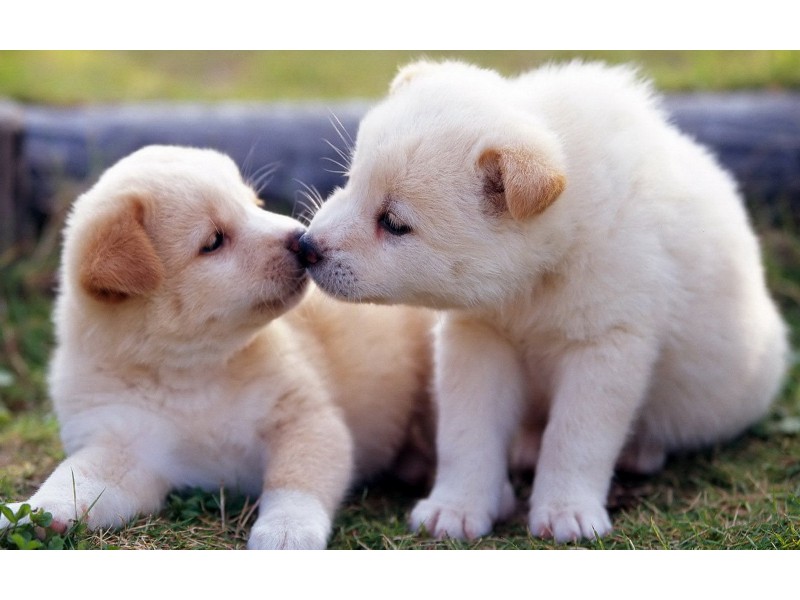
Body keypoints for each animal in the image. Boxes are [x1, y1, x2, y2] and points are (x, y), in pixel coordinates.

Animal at [0, 144, 434, 548]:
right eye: (213, 241)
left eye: (254, 203)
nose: (301, 239)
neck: (191, 376)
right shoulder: (122, 446)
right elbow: (75, 478)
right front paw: (38, 512)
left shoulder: (302, 418)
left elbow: (296, 481)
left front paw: (287, 530)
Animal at [298, 61, 788, 544]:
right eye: (350, 182)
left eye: (395, 223)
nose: (306, 247)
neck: (536, 282)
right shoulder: (478, 339)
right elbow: (466, 434)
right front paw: (456, 507)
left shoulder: (605, 346)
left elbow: (575, 437)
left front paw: (567, 512)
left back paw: (639, 450)